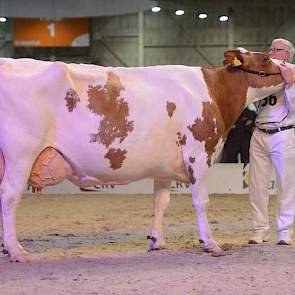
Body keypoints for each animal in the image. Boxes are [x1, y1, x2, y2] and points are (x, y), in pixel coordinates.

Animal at [0, 49, 284, 264]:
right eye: (266, 58)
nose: (288, 68)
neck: (214, 92)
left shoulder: (165, 165)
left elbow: (161, 201)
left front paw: (157, 241)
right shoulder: (199, 155)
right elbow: (202, 201)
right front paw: (210, 243)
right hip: (21, 154)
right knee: (9, 195)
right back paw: (16, 251)